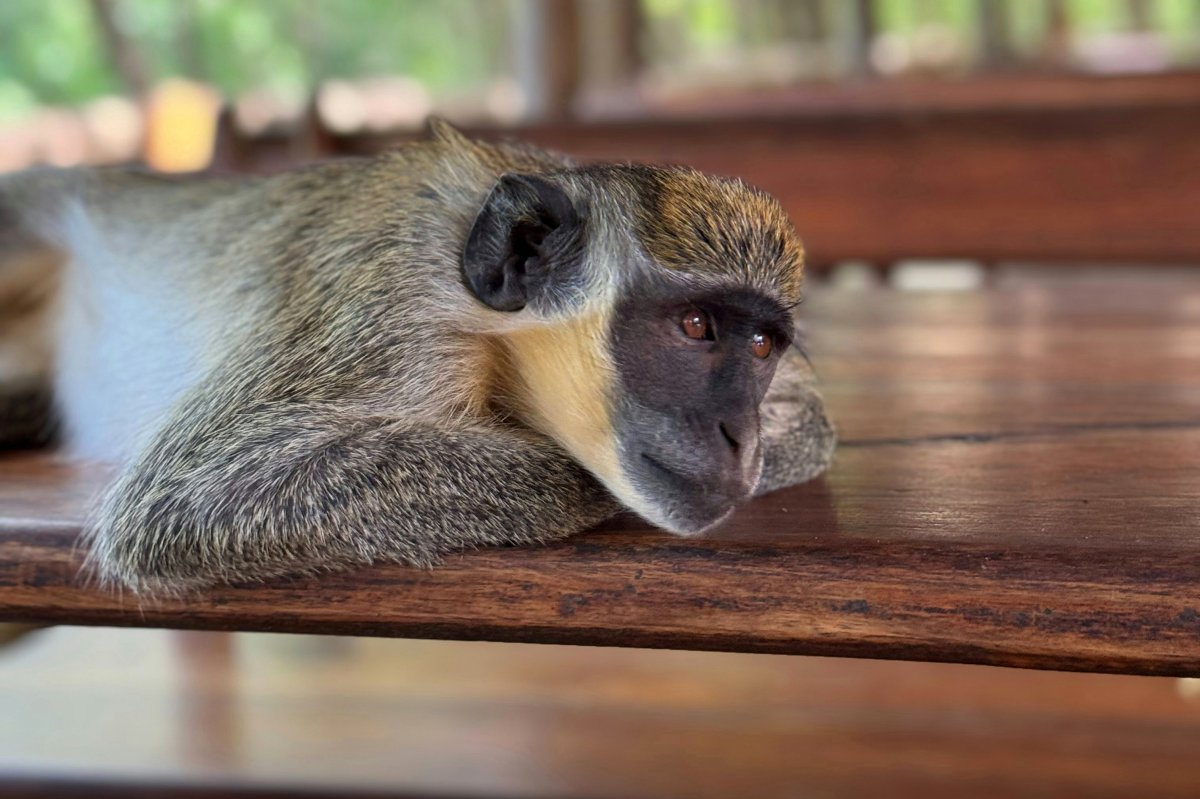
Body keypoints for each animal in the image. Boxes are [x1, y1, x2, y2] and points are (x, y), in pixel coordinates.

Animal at [0, 120, 835, 592]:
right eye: (694, 327)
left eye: (761, 343)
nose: (739, 436)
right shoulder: (393, 307)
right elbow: (187, 498)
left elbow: (816, 424)